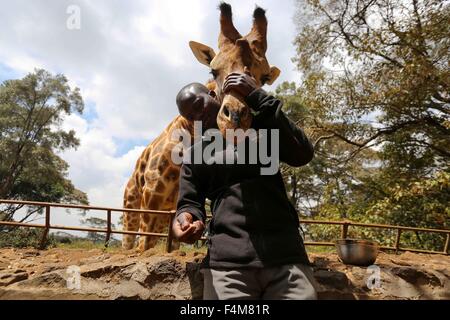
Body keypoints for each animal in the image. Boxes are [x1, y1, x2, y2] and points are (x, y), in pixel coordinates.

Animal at [121, 3, 280, 252]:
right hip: (131, 206)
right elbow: (143, 246)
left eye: (263, 77)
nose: (235, 118)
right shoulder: (152, 193)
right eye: (213, 71)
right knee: (128, 243)